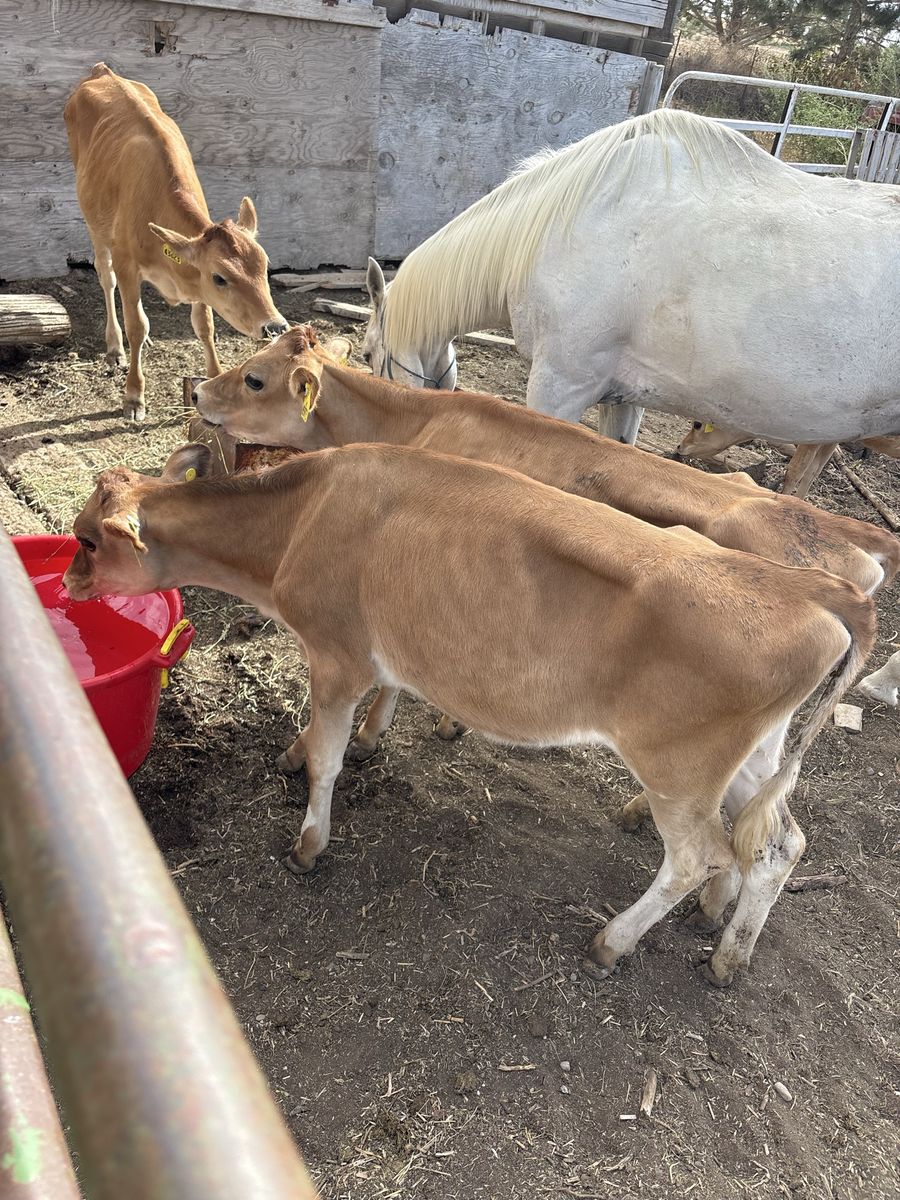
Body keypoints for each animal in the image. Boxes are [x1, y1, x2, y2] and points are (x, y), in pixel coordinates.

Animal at [64, 64, 287, 421]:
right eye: (220, 278)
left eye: (265, 267)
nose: (275, 328)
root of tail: (103, 71)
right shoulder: (128, 265)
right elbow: (136, 324)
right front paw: (134, 396)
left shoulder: (195, 279)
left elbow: (205, 326)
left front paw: (214, 378)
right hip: (94, 223)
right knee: (105, 278)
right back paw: (115, 347)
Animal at [64, 442, 874, 986]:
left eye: (86, 539)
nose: (68, 581)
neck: (299, 519)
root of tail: (807, 585)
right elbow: (343, 725)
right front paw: (307, 751)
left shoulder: (338, 653)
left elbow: (329, 758)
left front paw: (309, 839)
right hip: (752, 754)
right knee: (775, 844)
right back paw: (725, 947)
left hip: (679, 767)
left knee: (702, 853)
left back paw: (614, 941)